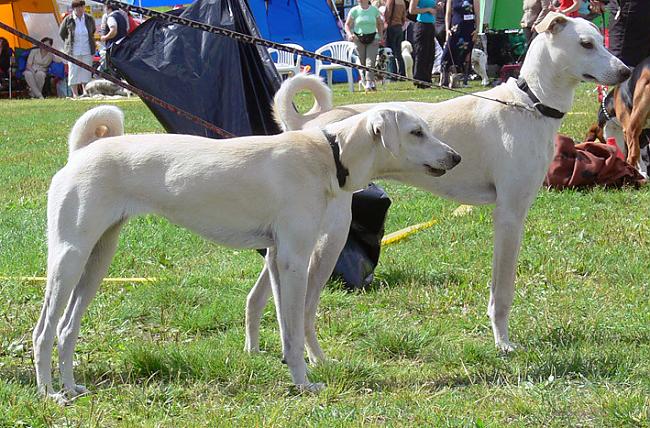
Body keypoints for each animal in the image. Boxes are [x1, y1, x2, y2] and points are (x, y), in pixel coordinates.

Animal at [33, 102, 458, 402]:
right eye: (417, 132)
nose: (456, 157)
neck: (328, 154)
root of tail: (81, 152)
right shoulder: (294, 260)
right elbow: (294, 330)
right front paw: (305, 384)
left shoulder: (277, 258)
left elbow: (285, 328)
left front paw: (293, 374)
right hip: (69, 260)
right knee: (44, 332)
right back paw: (49, 393)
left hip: (97, 260)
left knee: (67, 330)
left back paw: (72, 387)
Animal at [243, 14, 628, 362]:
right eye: (586, 44)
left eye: (600, 38)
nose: (625, 72)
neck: (528, 104)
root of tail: (308, 123)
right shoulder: (509, 216)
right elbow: (502, 292)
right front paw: (502, 343)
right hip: (330, 234)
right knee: (305, 307)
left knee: (258, 296)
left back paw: (254, 349)